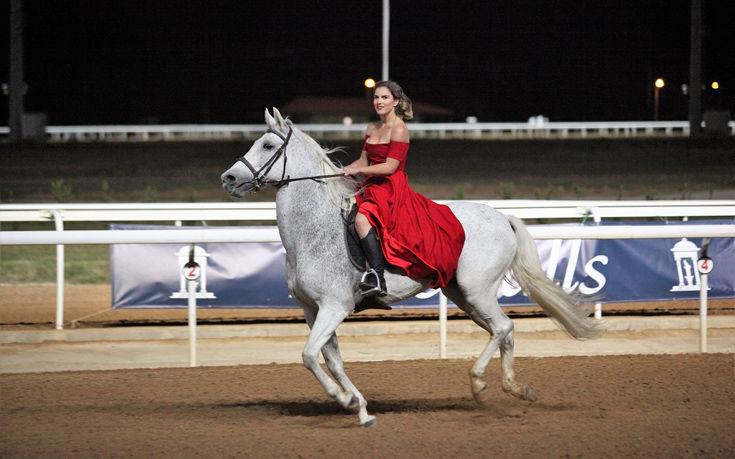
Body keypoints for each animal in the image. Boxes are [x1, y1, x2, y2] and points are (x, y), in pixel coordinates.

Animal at [221, 109, 600, 430]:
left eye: (268, 145)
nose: (228, 178)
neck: (312, 230)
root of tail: (502, 217)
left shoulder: (334, 307)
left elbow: (310, 356)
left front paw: (347, 401)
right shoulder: (312, 311)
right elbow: (331, 360)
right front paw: (360, 408)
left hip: (476, 290)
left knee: (503, 327)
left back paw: (480, 383)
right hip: (463, 295)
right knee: (502, 331)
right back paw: (515, 388)